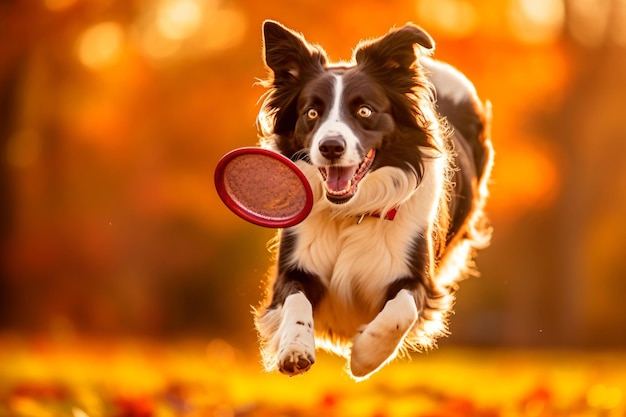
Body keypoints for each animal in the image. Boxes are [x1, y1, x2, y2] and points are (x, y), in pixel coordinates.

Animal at [251, 20, 490, 380]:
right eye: (312, 112)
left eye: (364, 110)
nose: (330, 147)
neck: (352, 211)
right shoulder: (295, 268)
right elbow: (295, 301)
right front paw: (295, 348)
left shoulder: (417, 277)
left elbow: (401, 311)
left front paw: (365, 354)